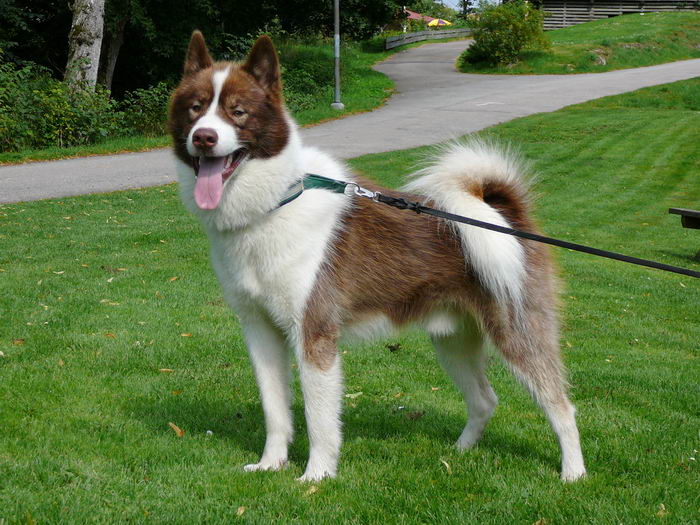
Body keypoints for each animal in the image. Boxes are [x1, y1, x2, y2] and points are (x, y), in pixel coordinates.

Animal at [168, 32, 584, 482]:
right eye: (195, 108)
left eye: (237, 111)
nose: (204, 137)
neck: (274, 205)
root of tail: (503, 213)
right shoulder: (260, 332)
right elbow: (275, 411)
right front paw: (270, 465)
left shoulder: (314, 334)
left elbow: (319, 420)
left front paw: (315, 477)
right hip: (453, 340)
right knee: (485, 400)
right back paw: (459, 452)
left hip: (517, 333)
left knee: (561, 406)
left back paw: (573, 473)